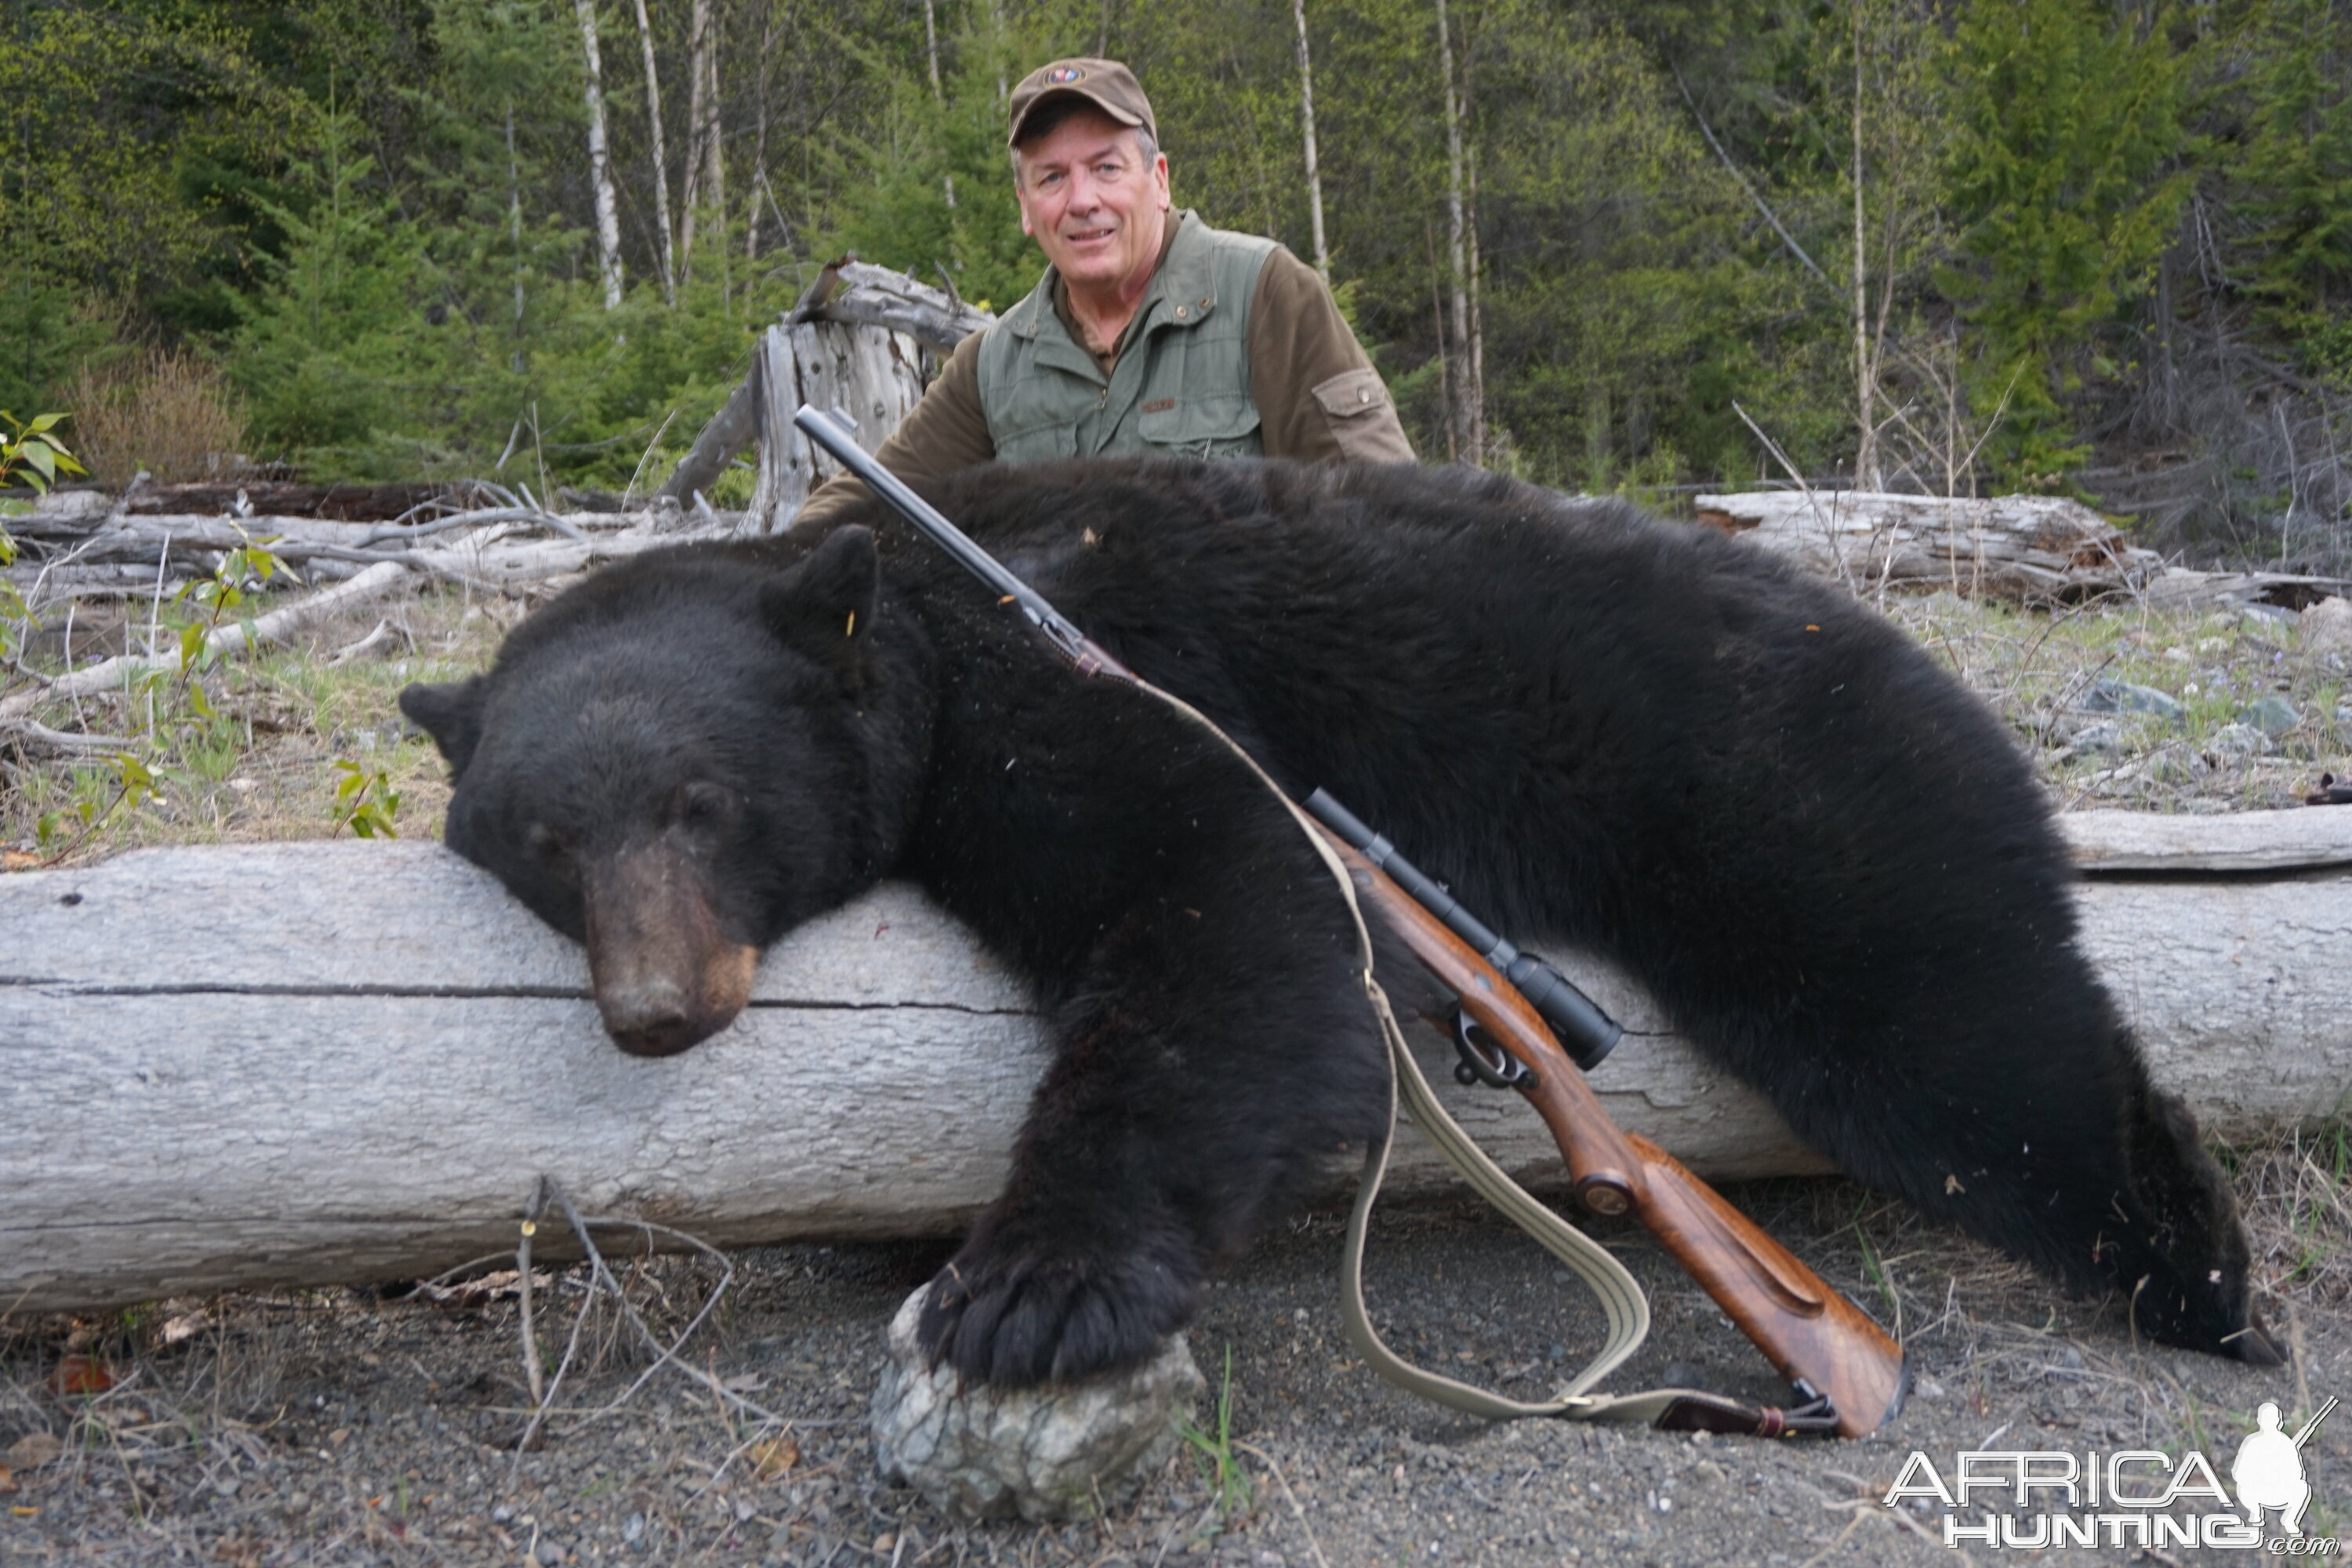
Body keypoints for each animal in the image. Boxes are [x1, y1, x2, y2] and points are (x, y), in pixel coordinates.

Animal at [405, 460, 2277, 1392]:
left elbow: (1226, 895)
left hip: (1789, 791)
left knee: (1958, 1032)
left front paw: (1032, 1290)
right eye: (546, 840)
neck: (921, 613)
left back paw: (2202, 1279)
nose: (655, 1008)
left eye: (700, 804)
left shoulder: (1093, 682)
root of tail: (1926, 659)